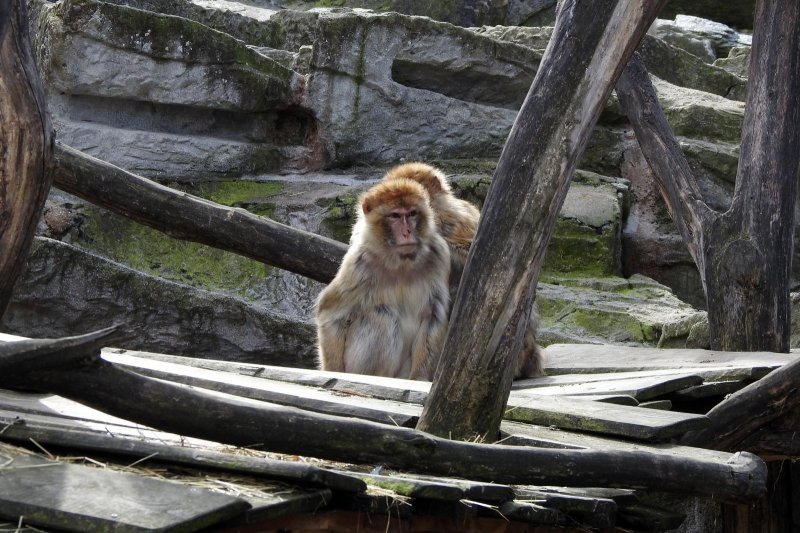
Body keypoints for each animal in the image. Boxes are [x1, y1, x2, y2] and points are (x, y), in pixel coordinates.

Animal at [314, 177, 450, 380]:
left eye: (412, 214)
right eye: (395, 216)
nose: (407, 232)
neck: (401, 263)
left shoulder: (439, 254)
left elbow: (433, 315)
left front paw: (420, 378)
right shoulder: (358, 264)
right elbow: (331, 315)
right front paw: (332, 370)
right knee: (382, 315)